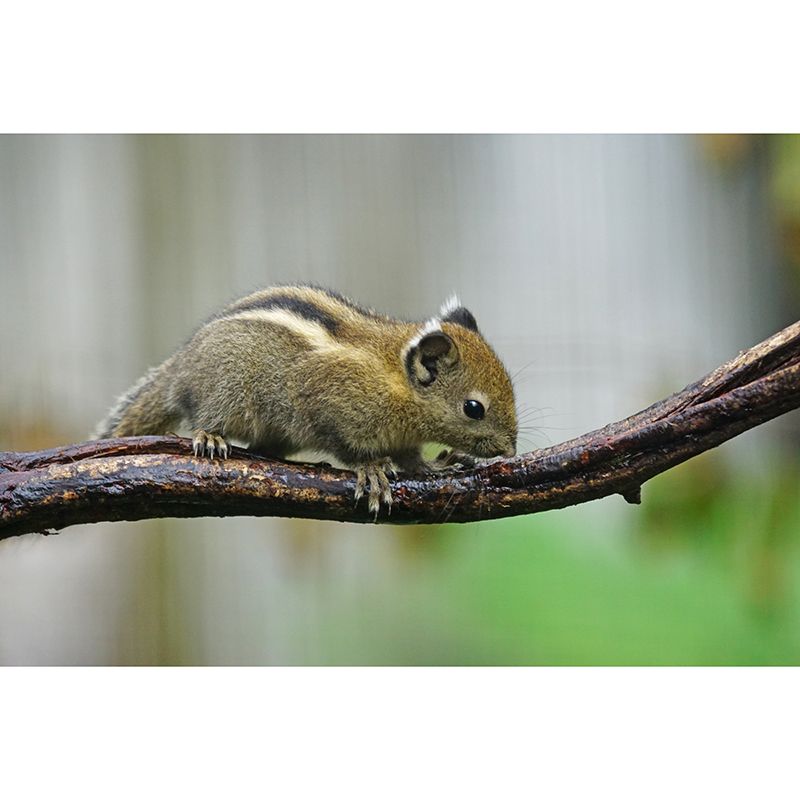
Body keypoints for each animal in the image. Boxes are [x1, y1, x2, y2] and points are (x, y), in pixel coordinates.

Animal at [94, 285, 518, 515]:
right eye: (474, 408)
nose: (510, 451)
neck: (395, 379)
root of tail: (180, 367)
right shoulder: (328, 407)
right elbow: (348, 447)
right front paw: (371, 469)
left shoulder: (404, 439)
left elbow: (412, 460)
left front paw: (437, 466)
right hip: (225, 390)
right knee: (205, 417)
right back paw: (210, 437)